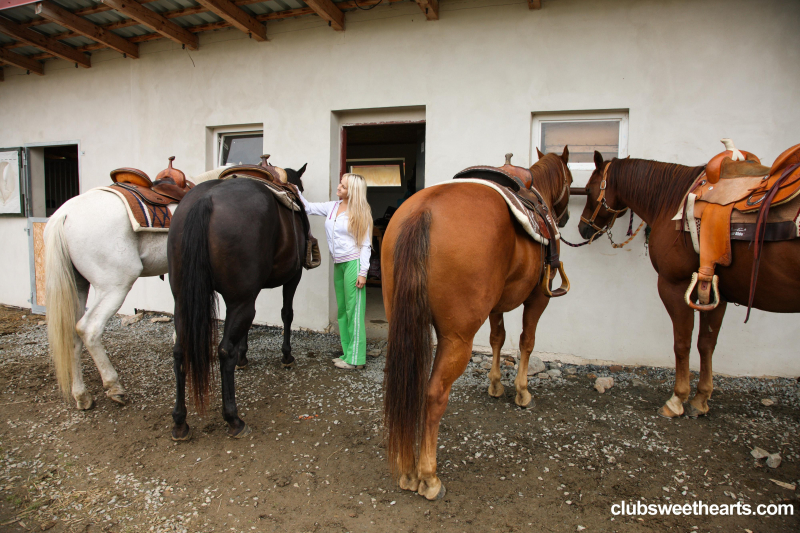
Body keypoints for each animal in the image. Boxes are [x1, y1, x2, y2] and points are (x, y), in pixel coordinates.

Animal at [44, 166, 225, 408]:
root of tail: (64, 214)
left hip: (78, 286)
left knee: (72, 333)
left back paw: (81, 395)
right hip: (115, 285)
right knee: (88, 329)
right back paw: (114, 386)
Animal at [167, 164, 308, 438]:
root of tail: (205, 199)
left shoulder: (249, 292)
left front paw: (244, 357)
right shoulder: (292, 276)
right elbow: (287, 313)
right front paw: (286, 355)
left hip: (183, 301)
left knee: (180, 351)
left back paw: (180, 422)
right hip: (240, 300)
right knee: (224, 351)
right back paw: (233, 419)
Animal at [380, 149, 568, 498]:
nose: (564, 218)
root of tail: (423, 211)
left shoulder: (496, 305)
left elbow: (497, 338)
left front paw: (495, 384)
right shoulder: (539, 298)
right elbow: (526, 341)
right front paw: (522, 391)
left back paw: (408, 471)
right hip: (457, 339)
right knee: (434, 395)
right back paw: (428, 476)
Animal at [580, 140, 796, 420]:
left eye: (588, 189)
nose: (582, 228)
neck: (671, 201)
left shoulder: (674, 285)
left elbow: (682, 343)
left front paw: (676, 400)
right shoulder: (718, 294)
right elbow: (707, 343)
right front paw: (700, 400)